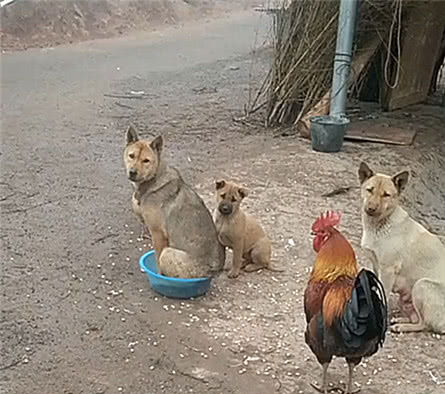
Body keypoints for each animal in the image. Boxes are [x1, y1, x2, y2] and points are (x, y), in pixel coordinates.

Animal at [122, 125, 224, 278]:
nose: (132, 172)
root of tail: (213, 270)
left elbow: (158, 261)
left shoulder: (158, 234)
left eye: (146, 161)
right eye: (131, 156)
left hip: (168, 252)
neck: (154, 180)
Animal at [358, 162, 444, 334]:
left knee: (424, 324)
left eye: (386, 195)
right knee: (416, 318)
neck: (381, 225)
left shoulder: (388, 270)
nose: (371, 209)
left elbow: (383, 295)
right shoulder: (376, 266)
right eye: (369, 190)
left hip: (421, 285)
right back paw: (401, 320)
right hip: (407, 297)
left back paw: (402, 326)